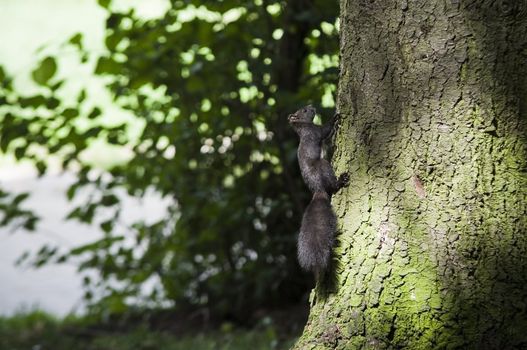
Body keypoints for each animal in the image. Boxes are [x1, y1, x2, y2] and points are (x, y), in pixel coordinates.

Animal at [286, 105, 348, 278]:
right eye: (304, 111)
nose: (311, 106)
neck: (302, 127)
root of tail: (318, 189)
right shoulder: (315, 131)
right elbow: (325, 130)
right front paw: (335, 117)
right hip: (324, 166)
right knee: (333, 186)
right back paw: (341, 181)